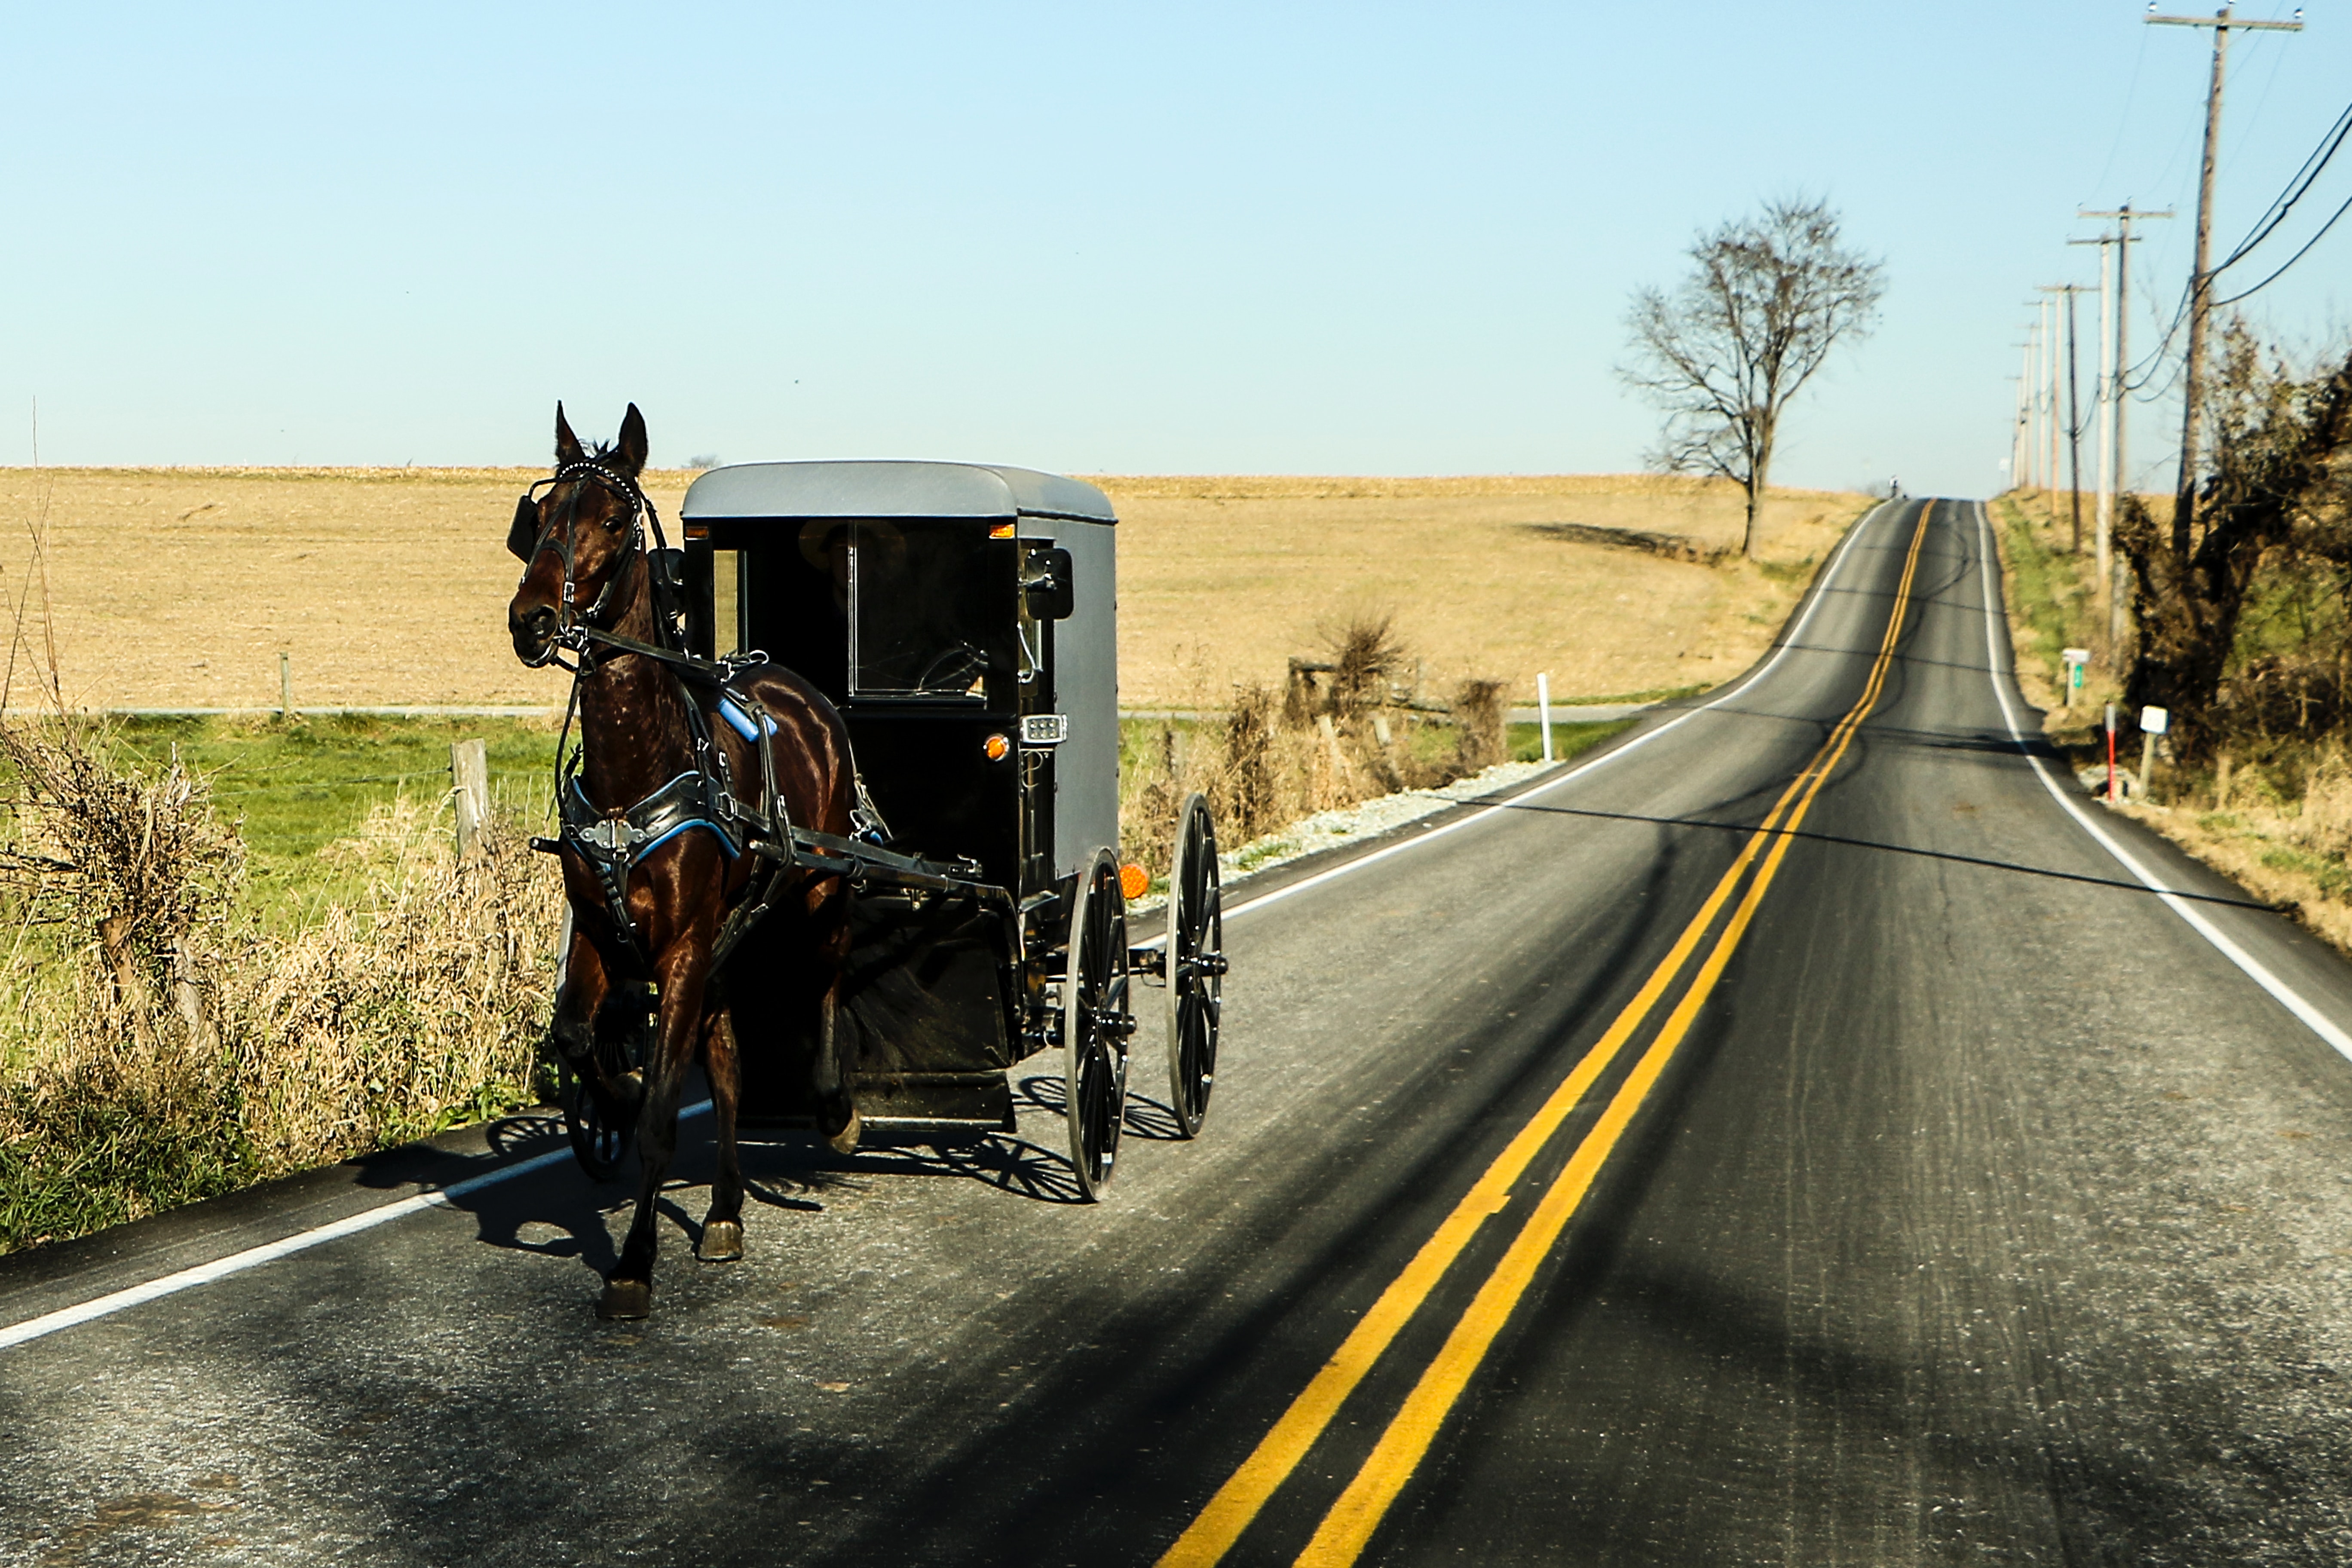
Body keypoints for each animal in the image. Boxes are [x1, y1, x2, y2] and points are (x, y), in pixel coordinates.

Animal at [510, 404, 861, 1326]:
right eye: (540, 515)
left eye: (611, 520)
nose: (530, 618)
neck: (639, 769)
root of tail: (794, 685)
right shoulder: (601, 930)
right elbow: (577, 1036)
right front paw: (614, 1090)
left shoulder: (681, 950)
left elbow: (666, 1113)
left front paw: (633, 1261)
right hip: (727, 939)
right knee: (731, 1059)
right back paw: (728, 1207)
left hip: (819, 885)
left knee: (825, 979)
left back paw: (835, 1109)